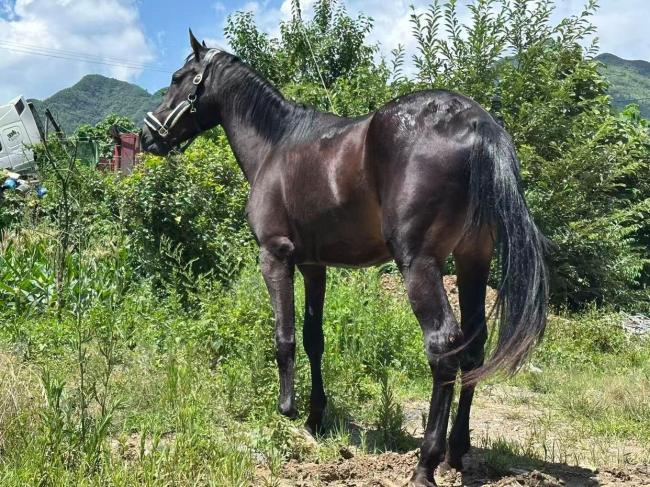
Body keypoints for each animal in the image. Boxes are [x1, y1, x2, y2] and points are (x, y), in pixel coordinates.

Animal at [141, 30, 549, 486]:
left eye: (179, 78)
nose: (147, 136)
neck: (275, 145)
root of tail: (477, 123)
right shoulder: (313, 266)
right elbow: (313, 338)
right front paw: (315, 417)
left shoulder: (275, 257)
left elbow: (284, 337)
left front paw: (287, 410)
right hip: (472, 261)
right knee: (474, 349)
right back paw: (456, 453)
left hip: (421, 265)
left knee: (443, 348)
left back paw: (426, 463)